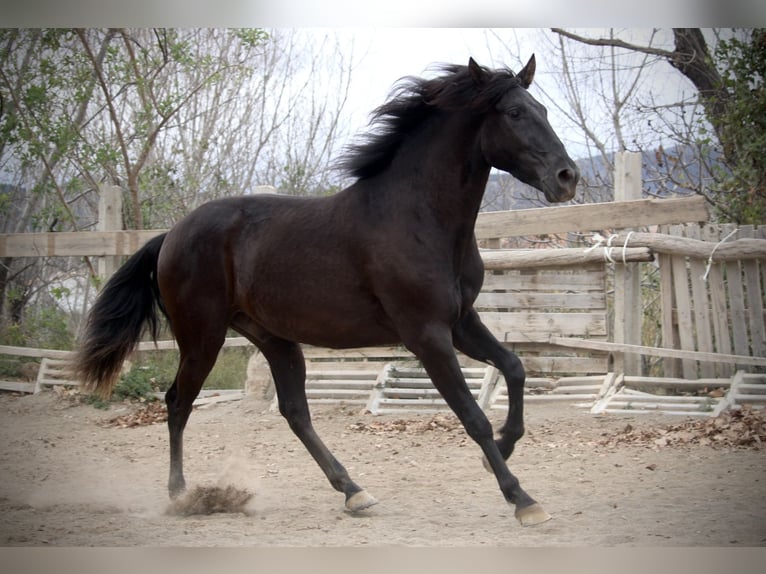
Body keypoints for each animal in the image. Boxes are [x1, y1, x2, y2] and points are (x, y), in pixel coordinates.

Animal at [72, 56, 580, 528]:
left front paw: (503, 449)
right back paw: (181, 495)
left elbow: (514, 368)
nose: (566, 177)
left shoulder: (460, 323)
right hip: (202, 336)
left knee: (295, 412)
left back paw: (353, 492)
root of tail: (170, 236)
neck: (419, 219)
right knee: (179, 402)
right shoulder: (427, 335)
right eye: (514, 113)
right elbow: (472, 416)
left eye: (543, 109)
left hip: (273, 338)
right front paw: (522, 499)